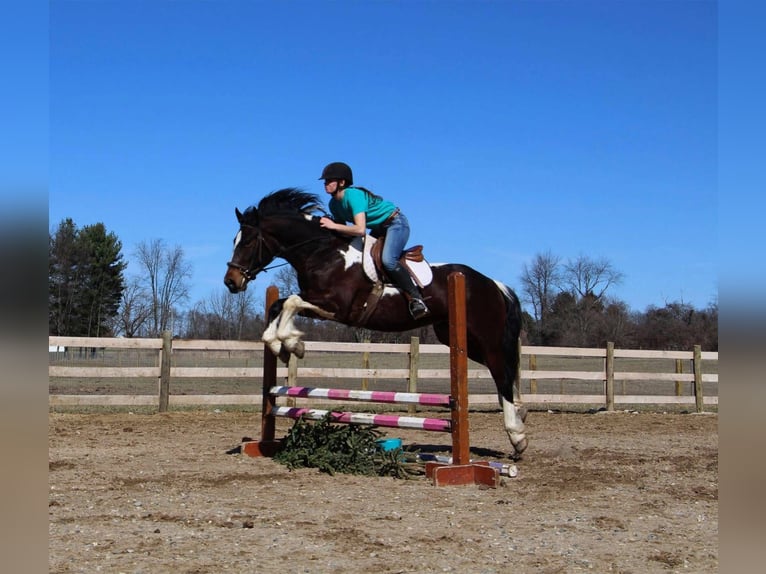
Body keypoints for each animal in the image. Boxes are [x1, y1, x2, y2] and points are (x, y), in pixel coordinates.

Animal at [224, 188, 527, 459]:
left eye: (247, 242)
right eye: (235, 241)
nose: (231, 282)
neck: (322, 253)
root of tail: (492, 283)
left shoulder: (337, 307)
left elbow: (291, 303)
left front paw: (292, 343)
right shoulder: (319, 303)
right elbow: (279, 305)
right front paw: (281, 345)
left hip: (485, 338)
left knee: (501, 375)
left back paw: (517, 436)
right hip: (459, 338)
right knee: (504, 372)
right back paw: (520, 420)